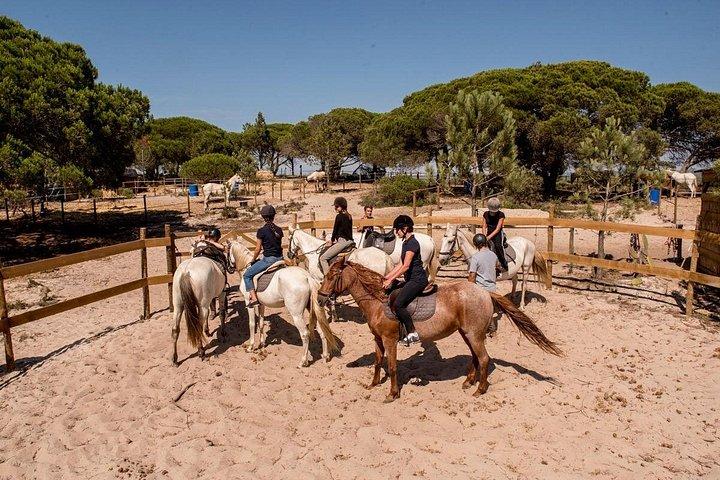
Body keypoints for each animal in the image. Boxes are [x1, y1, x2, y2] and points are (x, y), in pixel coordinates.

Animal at [317, 260, 562, 402]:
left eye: (331, 277)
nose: (320, 298)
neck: (378, 300)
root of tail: (484, 292)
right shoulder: (378, 338)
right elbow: (378, 361)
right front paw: (374, 383)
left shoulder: (389, 339)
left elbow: (393, 366)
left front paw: (392, 394)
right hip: (467, 334)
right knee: (475, 357)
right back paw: (468, 381)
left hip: (473, 335)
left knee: (483, 358)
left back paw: (479, 389)